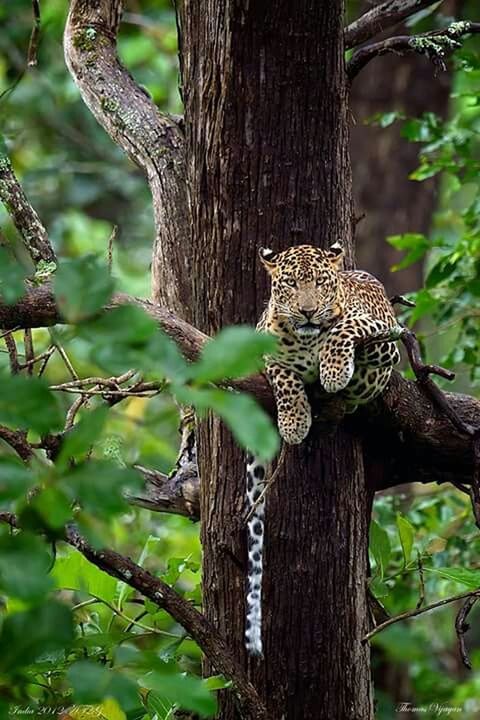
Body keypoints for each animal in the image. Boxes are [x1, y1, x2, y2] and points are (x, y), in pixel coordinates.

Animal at [244, 243, 402, 660]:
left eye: (319, 283)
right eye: (290, 284)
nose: (307, 311)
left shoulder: (385, 338)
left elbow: (343, 329)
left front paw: (332, 370)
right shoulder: (264, 353)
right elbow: (285, 378)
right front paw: (295, 420)